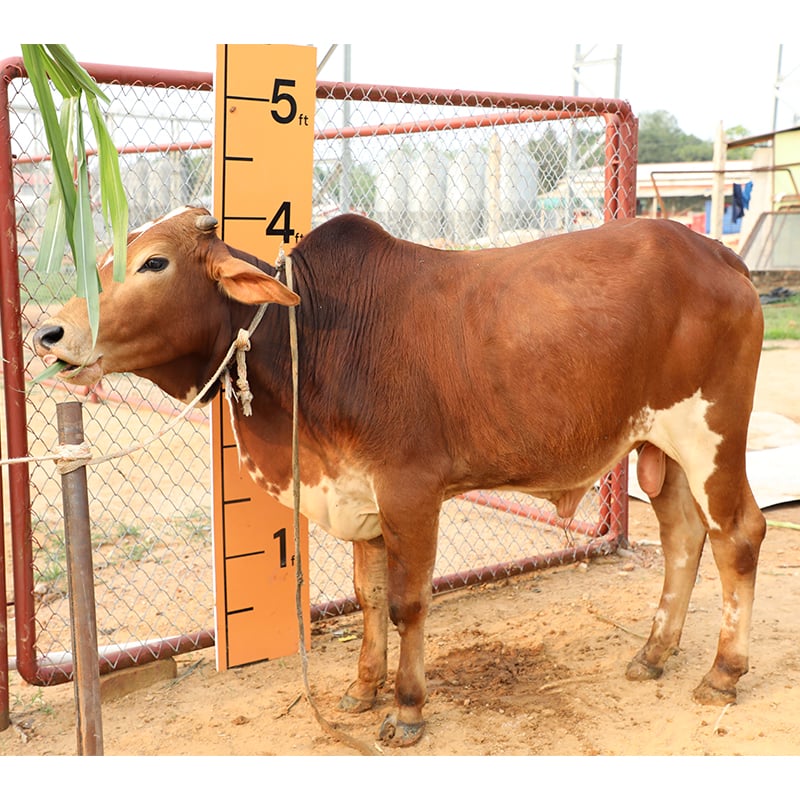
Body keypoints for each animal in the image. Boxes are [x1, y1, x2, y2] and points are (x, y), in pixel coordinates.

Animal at [33, 206, 766, 747]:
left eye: (154, 262)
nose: (50, 333)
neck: (314, 333)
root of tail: (716, 254)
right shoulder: (357, 492)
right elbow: (368, 595)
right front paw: (362, 689)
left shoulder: (411, 491)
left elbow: (408, 601)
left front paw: (408, 708)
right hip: (660, 447)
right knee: (682, 537)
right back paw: (654, 653)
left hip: (711, 436)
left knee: (737, 535)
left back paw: (724, 672)